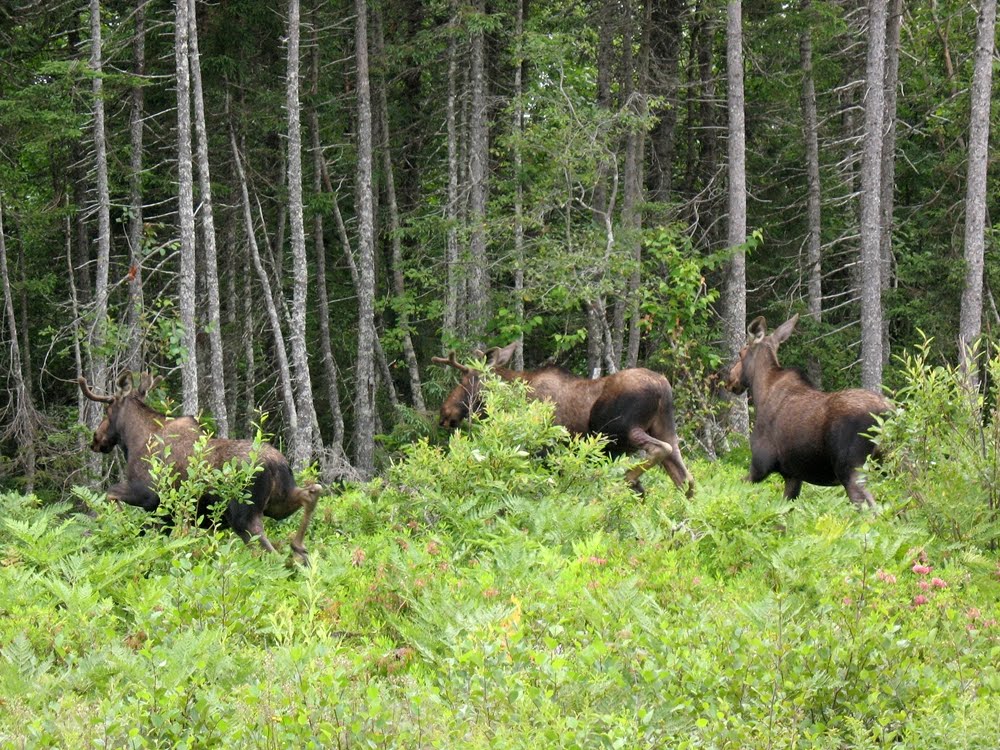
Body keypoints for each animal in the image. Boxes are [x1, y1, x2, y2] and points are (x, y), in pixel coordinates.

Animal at [79, 370, 320, 564]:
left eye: (107, 410)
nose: (96, 439)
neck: (132, 440)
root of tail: (278, 464)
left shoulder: (148, 494)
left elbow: (111, 494)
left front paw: (121, 526)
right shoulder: (166, 512)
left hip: (244, 515)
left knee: (267, 551)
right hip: (278, 503)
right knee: (311, 492)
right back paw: (299, 550)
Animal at [430, 342, 696, 496]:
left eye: (466, 380)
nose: (444, 414)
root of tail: (663, 388)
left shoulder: (547, 448)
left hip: (621, 428)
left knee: (661, 451)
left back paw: (627, 479)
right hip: (664, 427)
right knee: (686, 479)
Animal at [724, 314, 896, 508]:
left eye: (741, 353)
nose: (729, 378)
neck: (760, 391)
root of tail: (888, 412)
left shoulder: (761, 464)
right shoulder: (793, 475)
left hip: (851, 470)